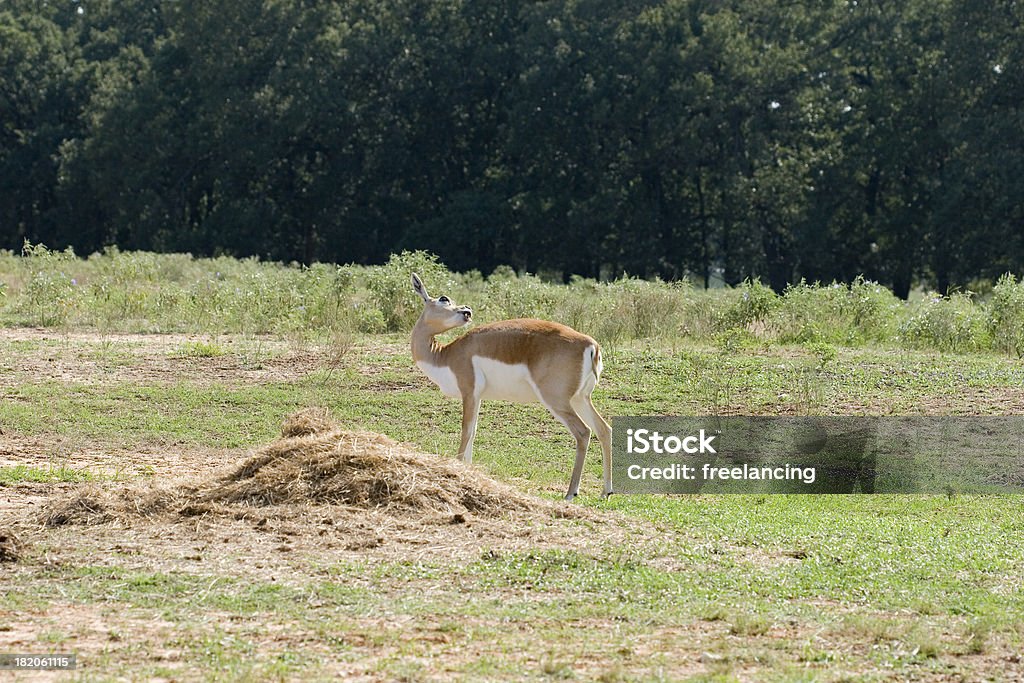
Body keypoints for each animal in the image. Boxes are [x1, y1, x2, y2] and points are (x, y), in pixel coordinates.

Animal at [409, 274, 614, 501]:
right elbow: (474, 431)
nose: (466, 311)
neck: (446, 355)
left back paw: (571, 493)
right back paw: (605, 491)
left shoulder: (468, 392)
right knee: (604, 429)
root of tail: (591, 345)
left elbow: (465, 430)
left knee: (583, 432)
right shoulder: (477, 397)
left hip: (556, 400)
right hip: (580, 398)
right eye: (446, 299)